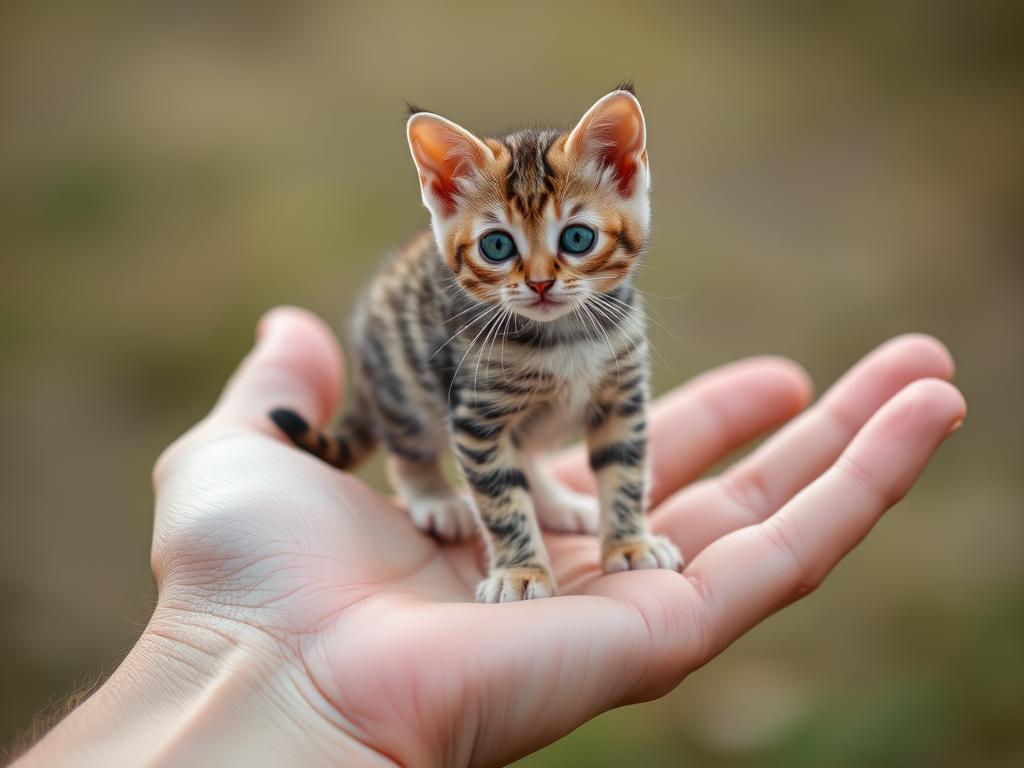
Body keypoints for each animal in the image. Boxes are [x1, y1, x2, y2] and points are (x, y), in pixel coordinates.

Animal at [270, 83, 679, 602]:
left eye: (577, 238)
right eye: (497, 246)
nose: (541, 283)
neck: (564, 336)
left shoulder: (622, 396)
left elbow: (624, 471)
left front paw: (630, 544)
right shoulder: (475, 417)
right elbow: (501, 499)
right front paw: (520, 573)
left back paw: (558, 503)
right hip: (403, 387)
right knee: (409, 451)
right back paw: (437, 500)